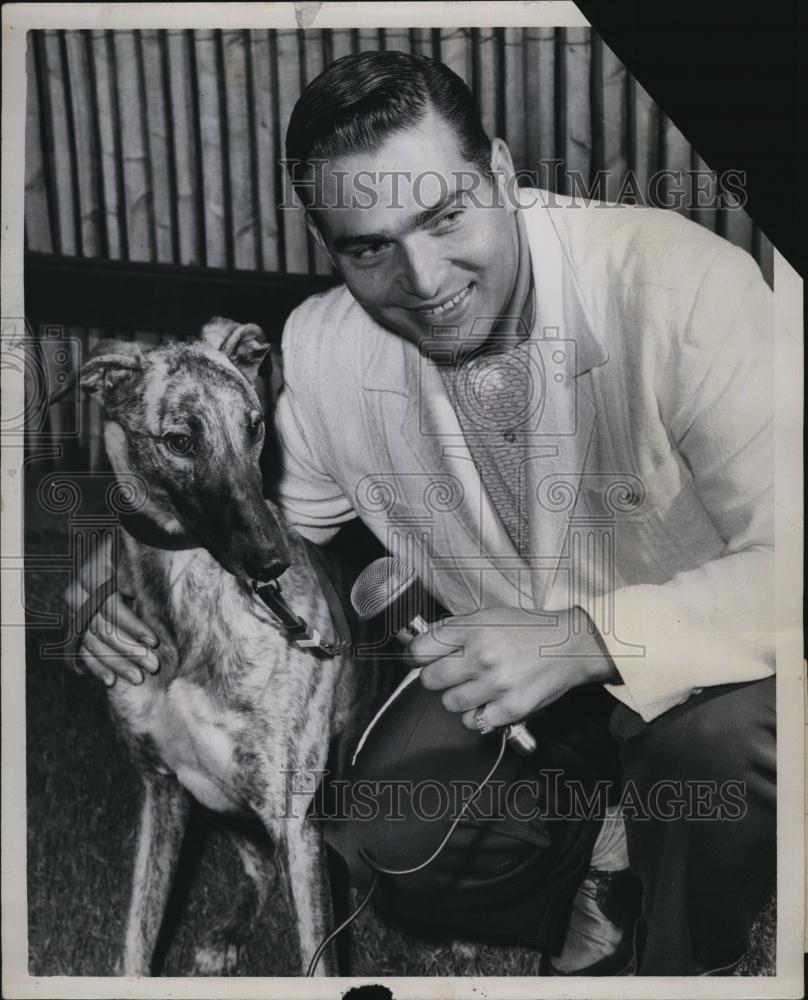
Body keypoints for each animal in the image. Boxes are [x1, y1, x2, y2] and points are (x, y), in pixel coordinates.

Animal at [65, 316, 382, 972]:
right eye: (180, 440)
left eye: (255, 425)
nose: (273, 562)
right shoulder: (162, 790)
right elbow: (138, 936)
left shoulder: (294, 817)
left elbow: (319, 957)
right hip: (223, 805)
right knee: (258, 871)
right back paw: (231, 930)